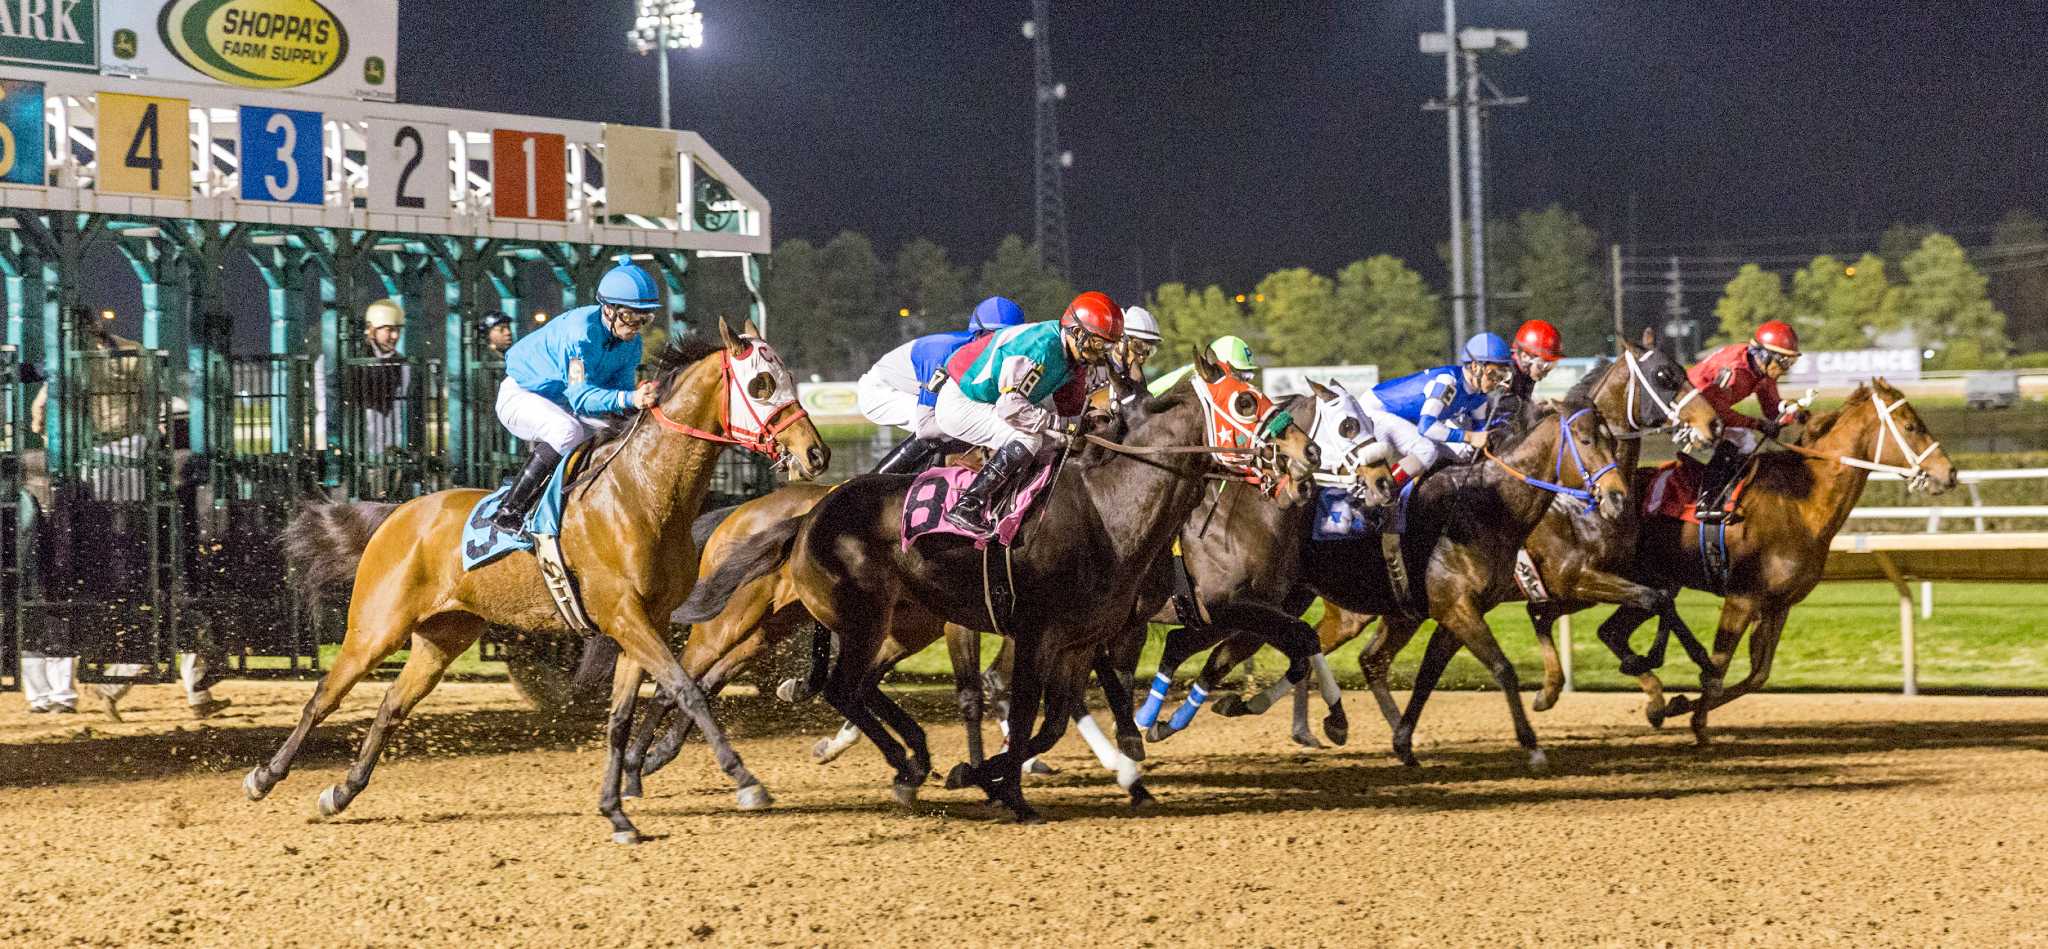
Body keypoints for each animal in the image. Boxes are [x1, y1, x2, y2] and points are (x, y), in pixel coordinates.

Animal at [251, 323, 827, 844]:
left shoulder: (646, 621)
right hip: (376, 628)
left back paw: (342, 791)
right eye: (761, 384)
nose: (816, 454)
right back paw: (265, 775)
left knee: (392, 706)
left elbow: (620, 717)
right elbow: (687, 689)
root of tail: (398, 514)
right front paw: (745, 779)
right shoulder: (624, 616)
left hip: (444, 636)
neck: (641, 493)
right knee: (324, 697)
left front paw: (616, 812)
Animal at [663, 348, 1318, 823]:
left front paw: (992, 778)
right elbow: (1025, 710)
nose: (1304, 454)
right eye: (1245, 399)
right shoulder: (1035, 632)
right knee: (837, 686)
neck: (1107, 508)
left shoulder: (1080, 640)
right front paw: (1004, 789)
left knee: (853, 686)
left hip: (890, 619)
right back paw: (899, 765)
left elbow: (1050, 724)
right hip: (855, 617)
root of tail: (808, 516)